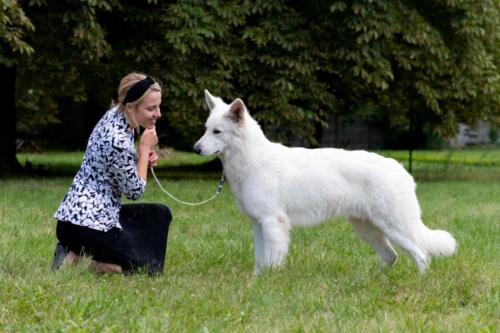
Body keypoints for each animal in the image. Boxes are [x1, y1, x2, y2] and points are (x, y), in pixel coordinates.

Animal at [192, 89, 458, 274]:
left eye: (217, 131)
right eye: (205, 129)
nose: (195, 149)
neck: (253, 160)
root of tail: (401, 170)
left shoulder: (272, 222)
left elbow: (272, 260)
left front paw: (268, 283)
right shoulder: (259, 224)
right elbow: (260, 260)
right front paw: (255, 282)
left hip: (395, 227)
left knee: (421, 255)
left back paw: (422, 282)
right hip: (367, 228)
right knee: (391, 257)